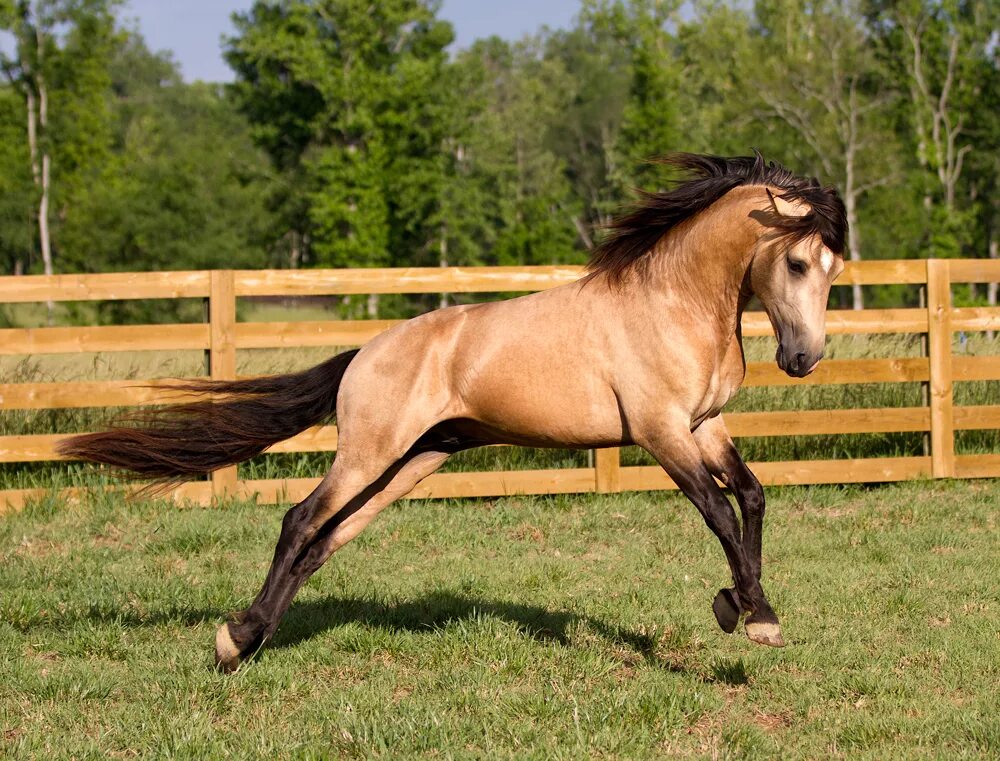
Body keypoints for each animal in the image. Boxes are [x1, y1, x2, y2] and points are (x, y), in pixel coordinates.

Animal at [60, 153, 844, 672]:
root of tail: (364, 352)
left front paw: (746, 606)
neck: (673, 303)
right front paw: (752, 617)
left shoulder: (705, 426)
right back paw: (234, 643)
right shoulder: (660, 431)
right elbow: (719, 513)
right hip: (370, 452)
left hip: (416, 460)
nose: (803, 358)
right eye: (797, 263)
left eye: (834, 269)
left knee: (325, 541)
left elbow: (752, 496)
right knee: (300, 520)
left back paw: (248, 639)